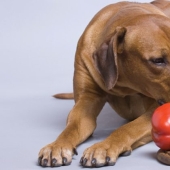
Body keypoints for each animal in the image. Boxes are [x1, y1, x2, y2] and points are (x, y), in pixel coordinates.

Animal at [38, 0, 170, 167]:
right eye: (158, 60)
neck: (126, 84)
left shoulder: (154, 109)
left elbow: (128, 128)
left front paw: (104, 146)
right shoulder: (86, 101)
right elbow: (72, 127)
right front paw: (57, 146)